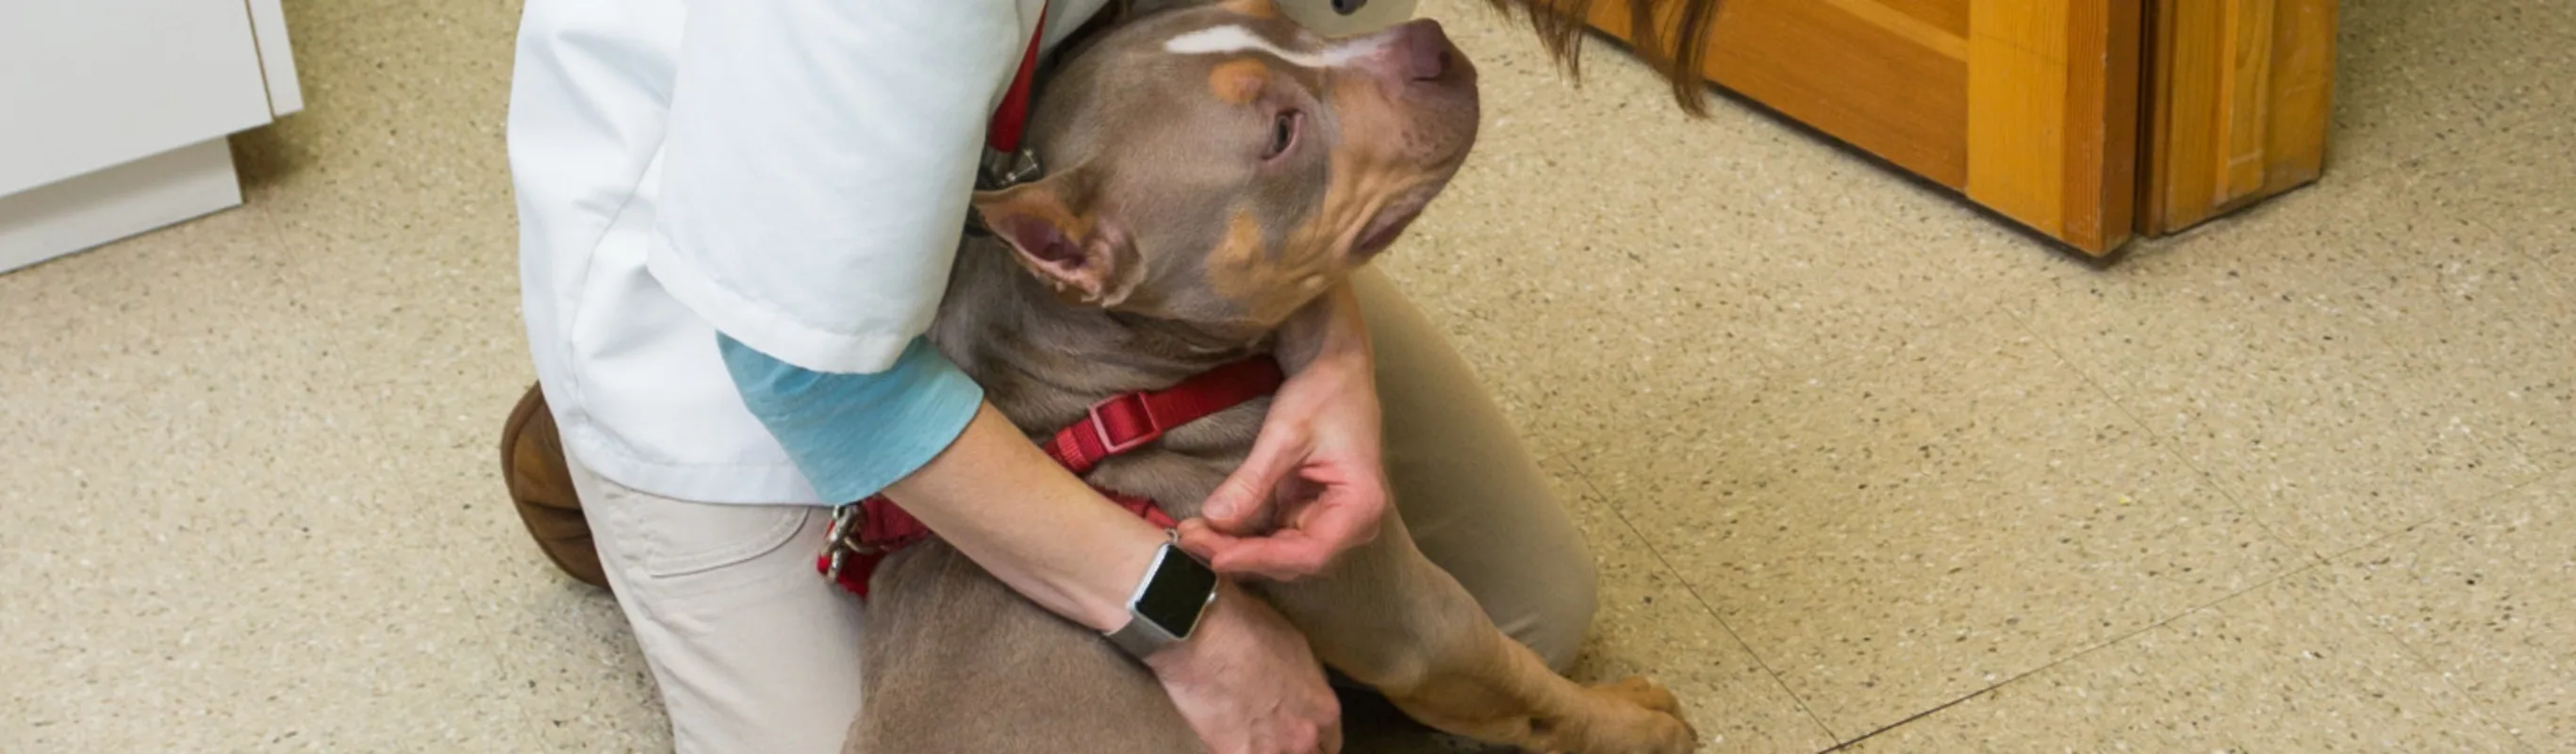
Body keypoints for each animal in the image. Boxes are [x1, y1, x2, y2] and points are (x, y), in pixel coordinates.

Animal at [839, 3, 1690, 746]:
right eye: (1281, 134)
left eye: (1278, 17)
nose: (1431, 41)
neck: (1126, 397)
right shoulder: (1416, 623)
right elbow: (1528, 682)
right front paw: (1636, 719)